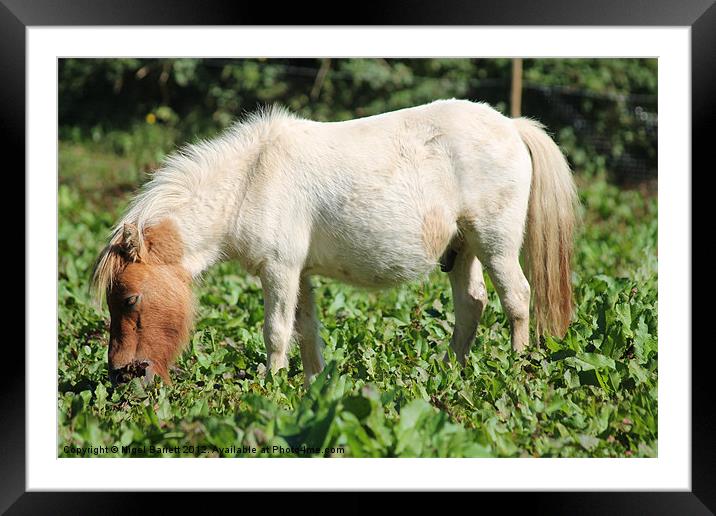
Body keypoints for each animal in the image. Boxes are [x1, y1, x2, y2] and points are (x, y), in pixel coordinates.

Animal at [92, 100, 580, 388]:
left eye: (130, 299)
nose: (120, 375)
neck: (251, 178)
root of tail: (511, 126)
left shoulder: (280, 271)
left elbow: (276, 332)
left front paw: (272, 387)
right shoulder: (299, 275)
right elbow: (307, 332)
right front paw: (313, 388)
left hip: (495, 244)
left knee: (516, 299)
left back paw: (515, 368)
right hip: (462, 250)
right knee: (472, 304)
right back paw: (450, 371)